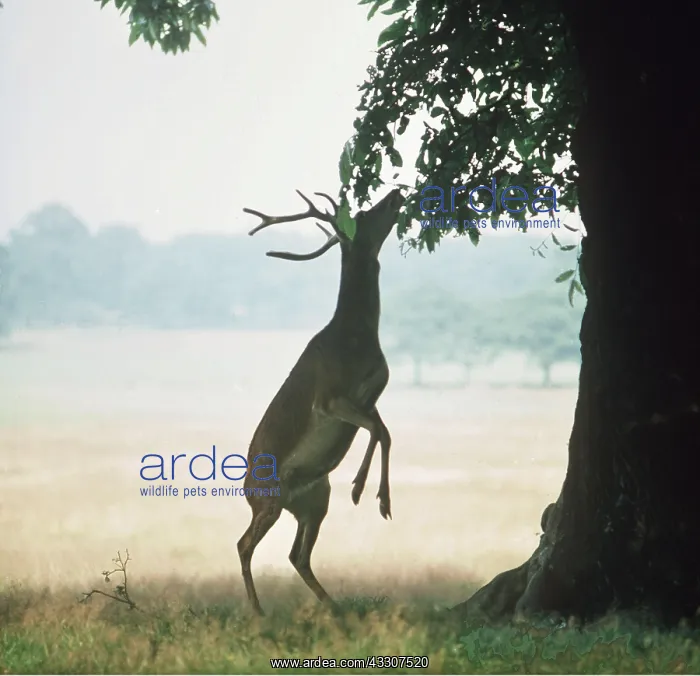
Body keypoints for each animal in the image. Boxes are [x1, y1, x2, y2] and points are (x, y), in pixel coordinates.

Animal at [237, 187, 405, 616]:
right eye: (362, 216)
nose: (396, 193)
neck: (355, 340)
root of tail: (244, 489)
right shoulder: (330, 398)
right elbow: (379, 430)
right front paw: (363, 490)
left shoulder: (371, 395)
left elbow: (384, 431)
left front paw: (379, 498)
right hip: (270, 498)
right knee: (244, 544)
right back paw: (258, 612)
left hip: (314, 499)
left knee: (297, 554)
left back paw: (334, 606)